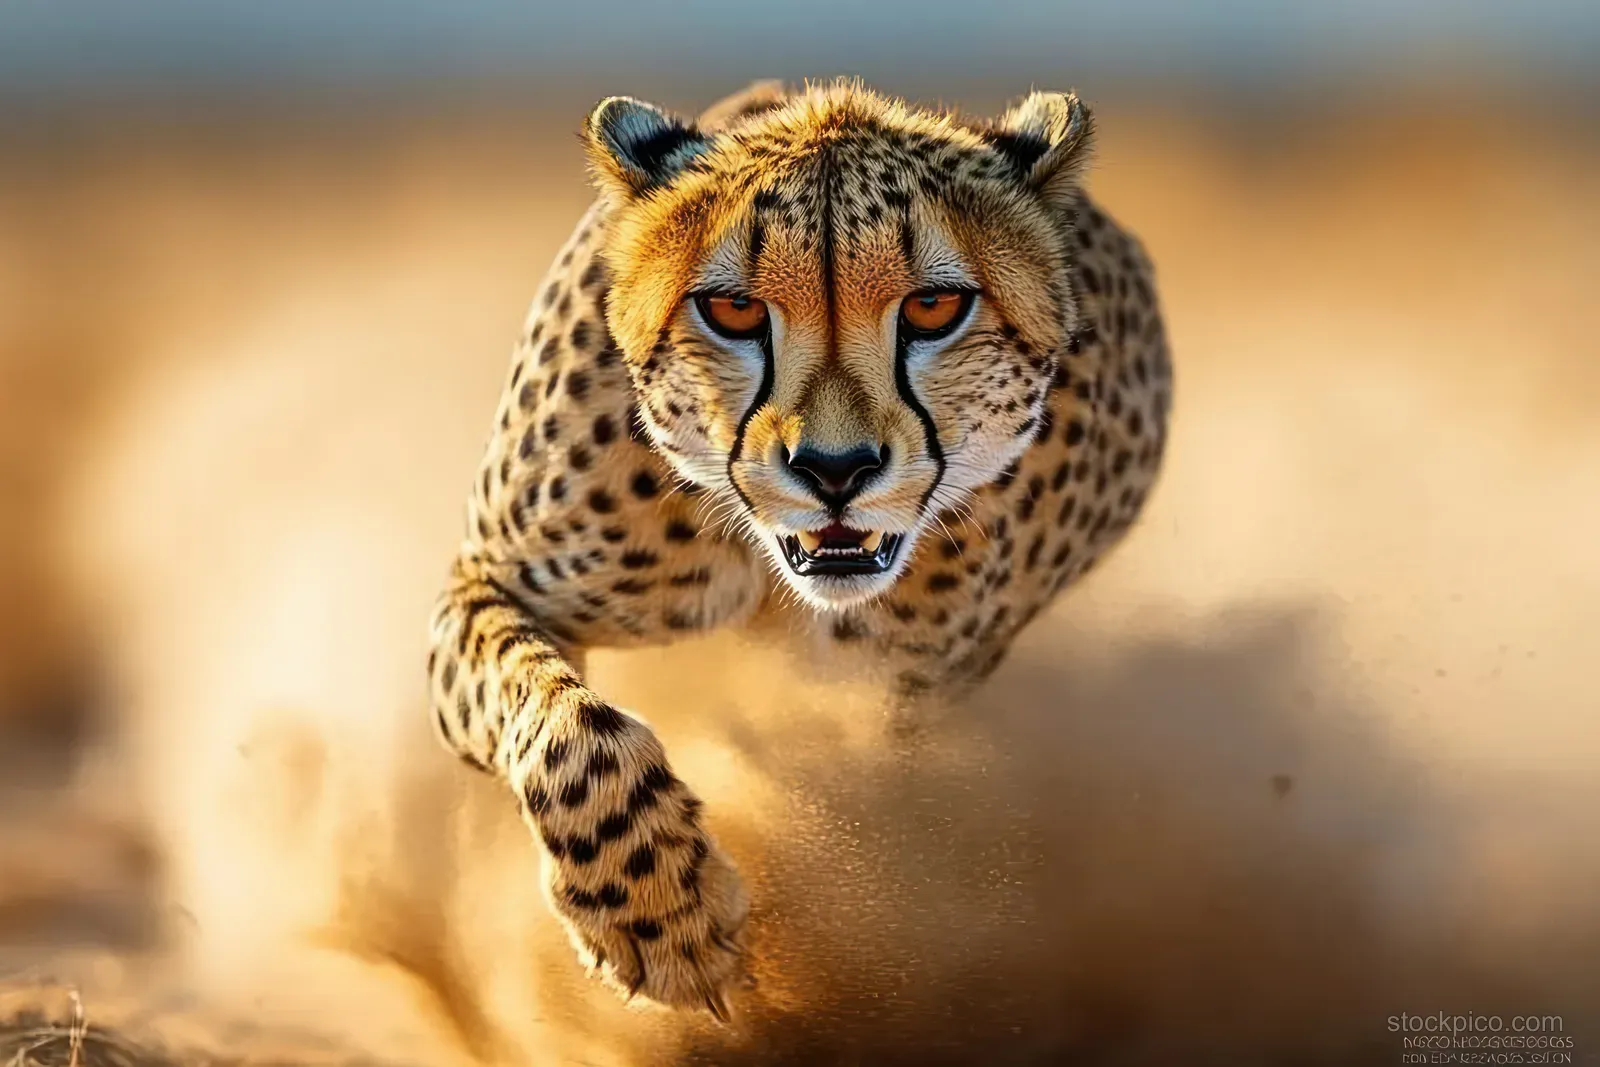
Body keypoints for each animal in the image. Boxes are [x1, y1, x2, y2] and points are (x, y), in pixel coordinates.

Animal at [425, 78, 1173, 1022]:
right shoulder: (492, 581)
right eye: (734, 310)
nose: (834, 468)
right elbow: (562, 724)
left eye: (934, 307)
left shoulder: (895, 708)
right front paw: (661, 912)